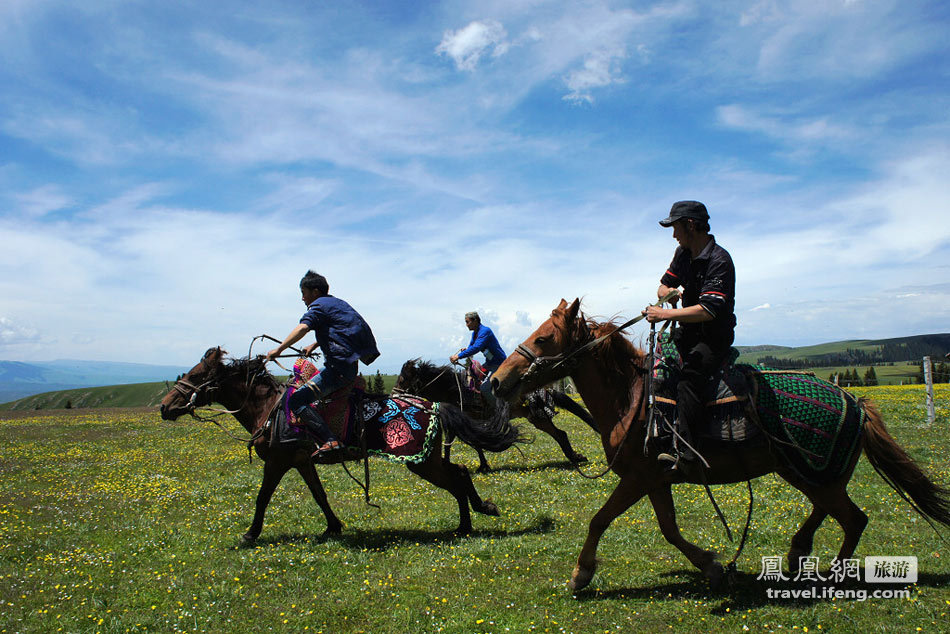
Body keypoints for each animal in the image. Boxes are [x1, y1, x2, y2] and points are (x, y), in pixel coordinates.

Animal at [160, 346, 524, 540]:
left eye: (195, 376)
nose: (165, 407)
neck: (267, 408)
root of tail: (433, 405)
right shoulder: (301, 461)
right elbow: (319, 495)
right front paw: (333, 527)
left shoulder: (278, 461)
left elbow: (263, 497)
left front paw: (251, 534)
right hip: (428, 459)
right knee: (460, 472)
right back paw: (473, 517)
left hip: (421, 462)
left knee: (457, 477)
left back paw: (468, 522)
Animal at [396, 356, 596, 470]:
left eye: (403, 378)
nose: (394, 394)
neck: (453, 389)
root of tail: (546, 390)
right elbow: (472, 443)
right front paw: (483, 465)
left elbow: (457, 443)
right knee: (560, 434)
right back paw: (576, 457)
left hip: (537, 417)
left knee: (560, 434)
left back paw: (574, 458)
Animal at [490, 298, 950, 592]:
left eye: (545, 338)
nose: (496, 380)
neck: (632, 397)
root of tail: (857, 403)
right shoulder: (655, 480)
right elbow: (669, 529)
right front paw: (711, 567)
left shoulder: (638, 478)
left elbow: (600, 520)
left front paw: (581, 574)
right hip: (806, 472)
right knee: (831, 510)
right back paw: (797, 553)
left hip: (813, 474)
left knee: (854, 519)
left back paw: (831, 576)